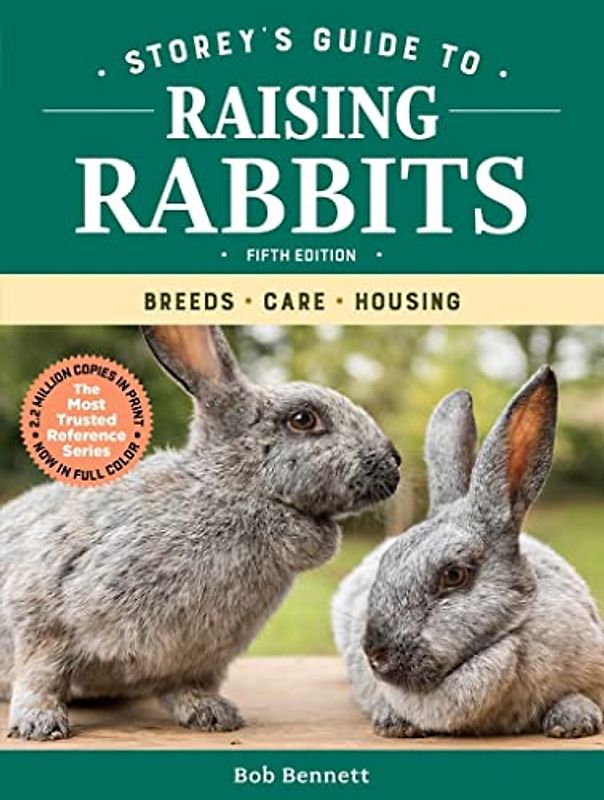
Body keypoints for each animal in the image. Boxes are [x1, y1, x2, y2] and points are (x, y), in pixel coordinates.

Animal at [0, 325, 401, 741]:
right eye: (303, 419)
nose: (395, 463)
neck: (231, 491)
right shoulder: (43, 603)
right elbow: (41, 673)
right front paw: (38, 723)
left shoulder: (200, 659)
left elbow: (188, 687)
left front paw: (212, 714)